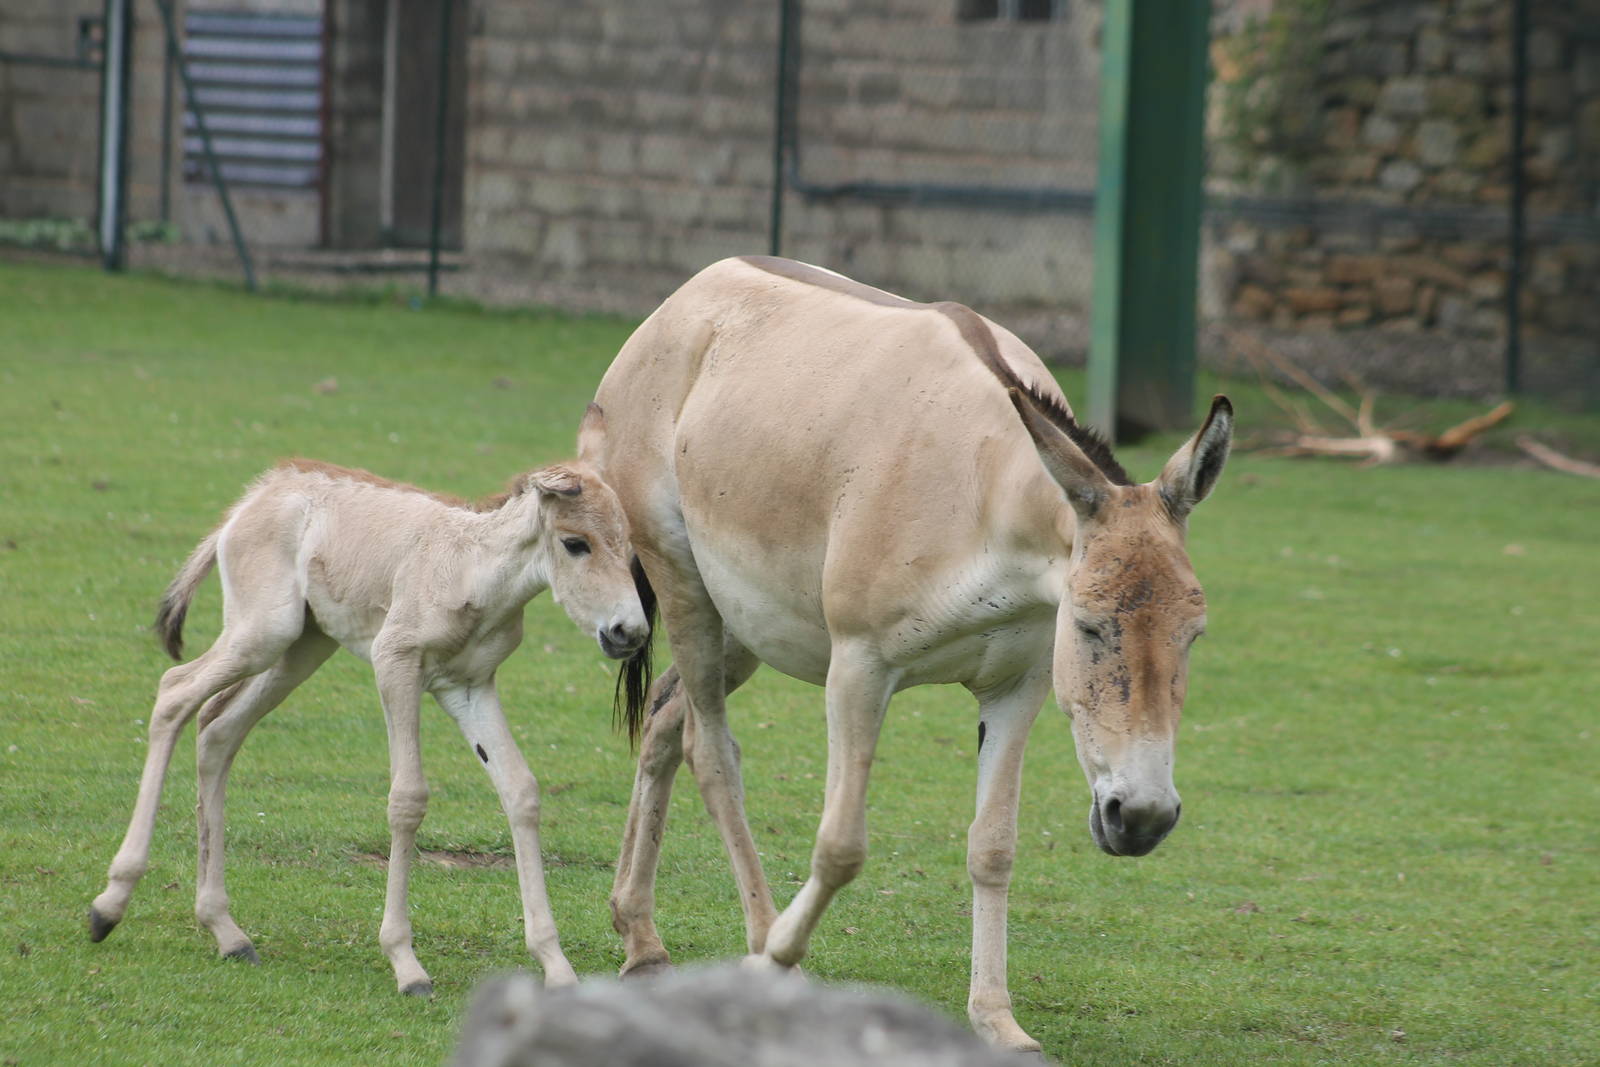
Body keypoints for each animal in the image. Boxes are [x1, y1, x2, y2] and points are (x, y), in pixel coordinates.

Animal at [88, 442, 651, 996]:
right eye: (575, 544)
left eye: (628, 548)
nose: (630, 632)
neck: (471, 568)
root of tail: (251, 500)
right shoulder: (395, 665)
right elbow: (408, 799)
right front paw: (406, 963)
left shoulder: (469, 687)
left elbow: (521, 791)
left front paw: (555, 964)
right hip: (262, 634)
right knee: (174, 693)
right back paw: (110, 904)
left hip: (301, 647)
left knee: (218, 729)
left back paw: (226, 931)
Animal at [588, 256, 1232, 1051]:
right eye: (1087, 627)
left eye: (1193, 634)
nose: (1140, 818)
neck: (985, 496)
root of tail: (692, 290)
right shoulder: (859, 668)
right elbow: (841, 843)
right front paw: (779, 958)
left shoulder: (1017, 686)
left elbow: (993, 845)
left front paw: (996, 1019)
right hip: (683, 586)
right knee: (711, 753)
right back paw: (761, 943)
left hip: (740, 620)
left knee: (664, 717)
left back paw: (640, 940)